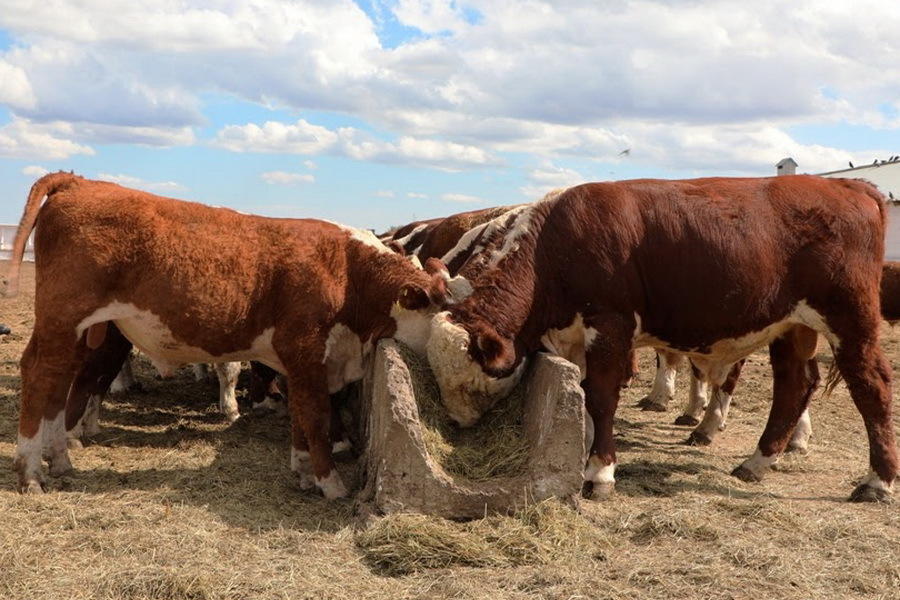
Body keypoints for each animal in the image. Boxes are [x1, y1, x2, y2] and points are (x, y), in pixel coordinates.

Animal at [2, 172, 446, 496]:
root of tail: (78, 181)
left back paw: (60, 460)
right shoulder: (305, 353)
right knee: (40, 375)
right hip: (62, 318)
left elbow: (301, 418)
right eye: (452, 318)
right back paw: (30, 473)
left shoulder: (304, 364)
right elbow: (316, 416)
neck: (348, 272)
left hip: (77, 332)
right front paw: (331, 483)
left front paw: (303, 471)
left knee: (60, 382)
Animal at [426, 177, 896, 502]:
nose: (459, 424)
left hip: (849, 319)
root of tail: (849, 186)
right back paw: (758, 461)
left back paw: (878, 480)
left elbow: (601, 397)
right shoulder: (575, 338)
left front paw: (599, 472)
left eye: (470, 379)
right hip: (790, 327)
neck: (555, 248)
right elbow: (583, 396)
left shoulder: (610, 325)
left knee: (871, 387)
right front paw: (584, 453)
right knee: (794, 385)